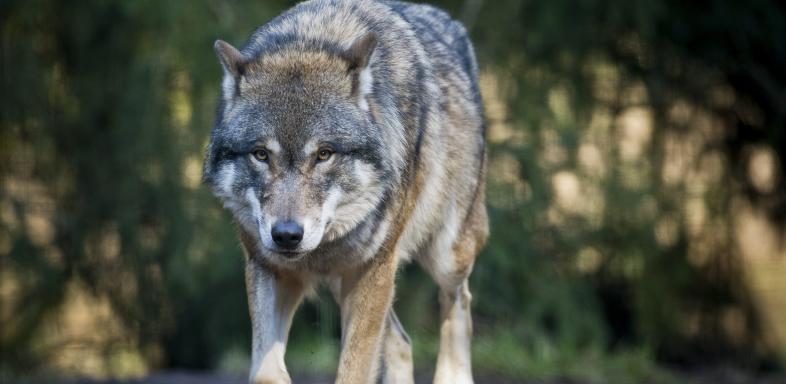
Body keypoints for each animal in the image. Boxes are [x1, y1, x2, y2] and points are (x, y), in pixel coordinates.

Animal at [202, 1, 484, 382]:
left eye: (324, 154)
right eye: (261, 154)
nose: (286, 235)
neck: (314, 38)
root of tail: (450, 23)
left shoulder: (373, 270)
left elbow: (354, 369)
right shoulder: (268, 268)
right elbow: (266, 371)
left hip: (445, 254)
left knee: (459, 301)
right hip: (347, 282)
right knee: (403, 341)